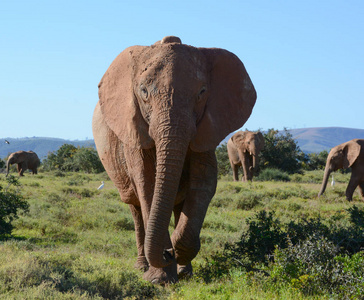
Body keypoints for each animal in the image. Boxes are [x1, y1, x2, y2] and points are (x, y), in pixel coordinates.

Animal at [92, 35, 258, 284]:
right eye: (143, 91)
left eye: (202, 92)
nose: (166, 253)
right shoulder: (134, 131)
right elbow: (147, 185)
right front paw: (159, 279)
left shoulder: (208, 127)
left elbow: (205, 183)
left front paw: (178, 252)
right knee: (135, 207)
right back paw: (143, 266)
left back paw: (184, 271)